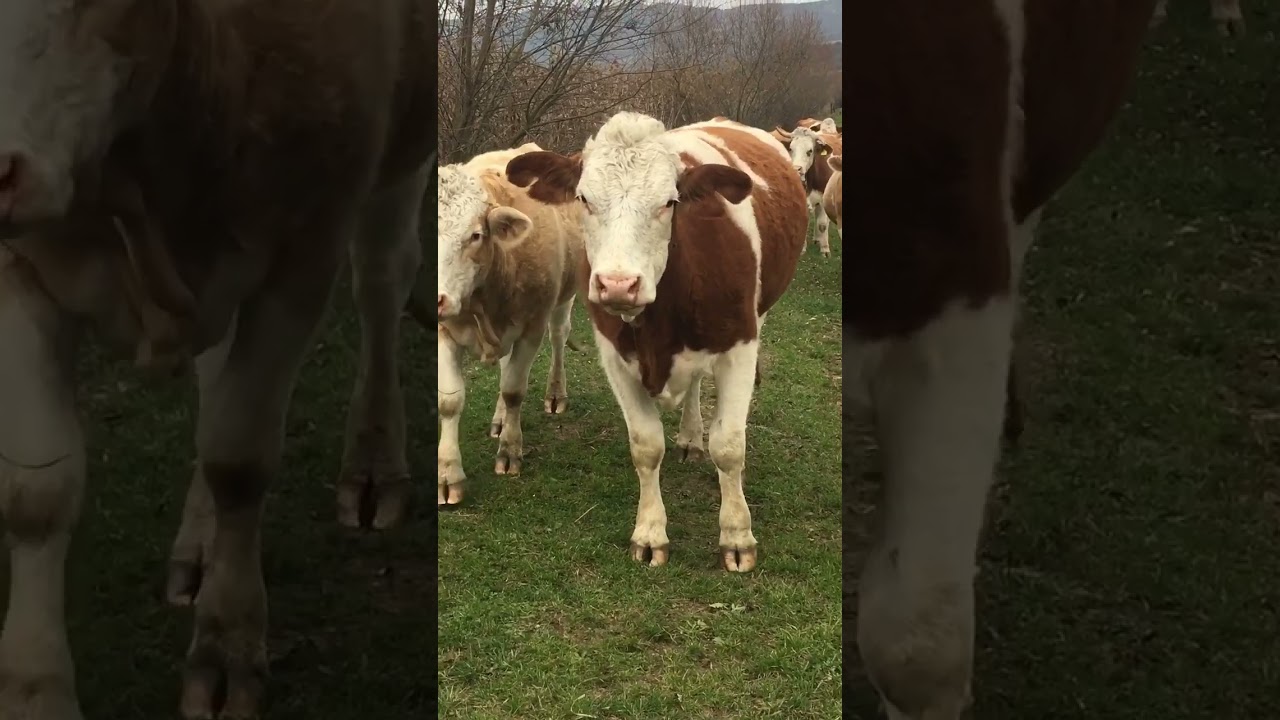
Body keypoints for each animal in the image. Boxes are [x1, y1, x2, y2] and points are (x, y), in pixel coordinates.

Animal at [0, 1, 431, 718]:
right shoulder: (19, 269)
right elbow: (37, 491)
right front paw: (35, 693)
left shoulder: (302, 253)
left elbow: (238, 459)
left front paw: (228, 644)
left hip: (405, 152)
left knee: (380, 283)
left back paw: (373, 469)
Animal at [436, 144, 585, 507]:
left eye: (475, 235)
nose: (438, 298)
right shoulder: (444, 332)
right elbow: (449, 400)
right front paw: (448, 475)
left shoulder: (531, 327)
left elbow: (514, 389)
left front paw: (510, 451)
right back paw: (499, 420)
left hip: (564, 298)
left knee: (558, 338)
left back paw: (554, 395)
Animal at [505, 112, 809, 573]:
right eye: (583, 198)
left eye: (669, 202)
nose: (618, 284)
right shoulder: (614, 353)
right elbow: (646, 446)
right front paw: (650, 533)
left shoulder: (738, 344)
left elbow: (729, 446)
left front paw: (737, 536)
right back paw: (689, 435)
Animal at [774, 126, 843, 256]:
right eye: (790, 148)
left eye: (810, 151)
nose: (796, 169)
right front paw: (802, 249)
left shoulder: (822, 200)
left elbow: (822, 225)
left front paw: (825, 249)